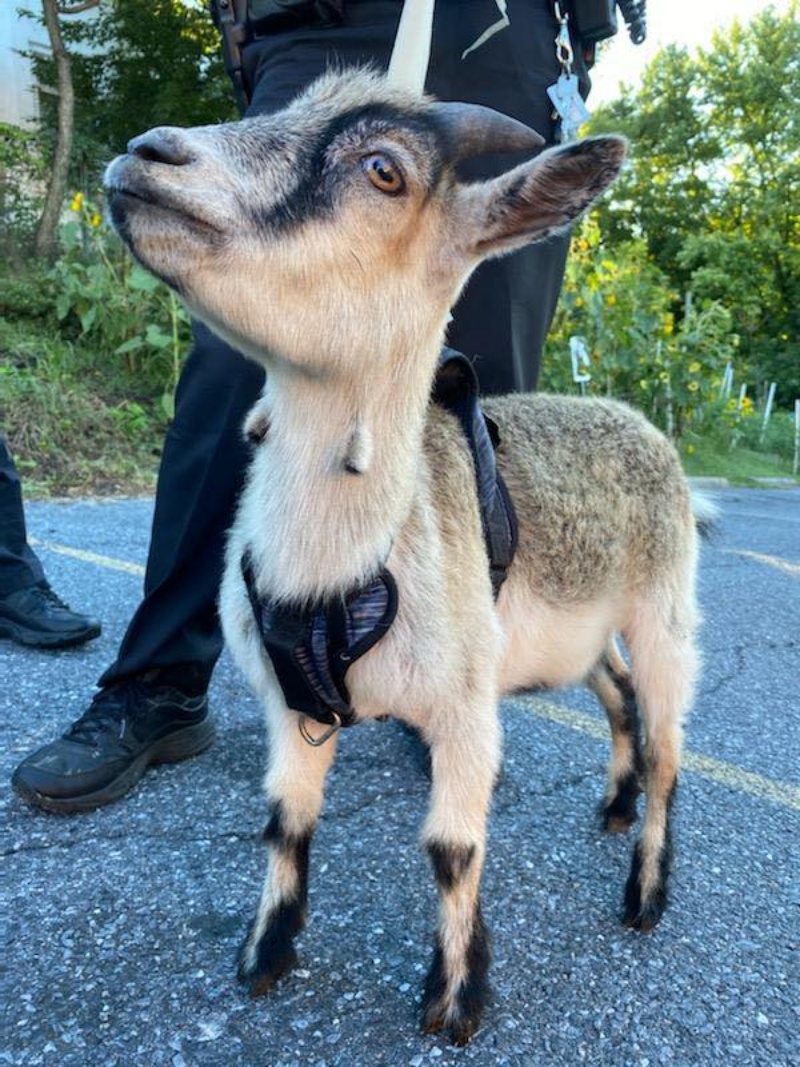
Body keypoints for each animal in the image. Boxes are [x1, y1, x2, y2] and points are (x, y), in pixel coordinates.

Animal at [105, 64, 699, 1041]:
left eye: (383, 169)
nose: (144, 154)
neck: (338, 572)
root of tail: (632, 414)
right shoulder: (290, 702)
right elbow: (286, 821)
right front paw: (264, 955)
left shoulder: (465, 707)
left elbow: (453, 848)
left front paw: (454, 999)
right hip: (576, 635)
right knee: (616, 697)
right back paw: (612, 809)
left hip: (666, 610)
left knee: (666, 745)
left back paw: (645, 892)